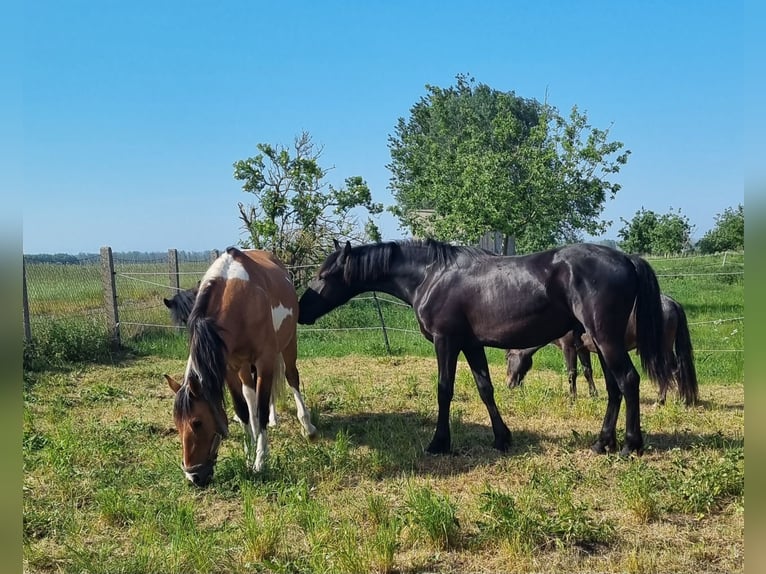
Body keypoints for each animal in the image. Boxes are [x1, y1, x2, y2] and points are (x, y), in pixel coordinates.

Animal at [164, 245, 316, 488]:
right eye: (176, 425)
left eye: (197, 422)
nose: (194, 477)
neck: (238, 301)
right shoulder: (228, 367)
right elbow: (242, 409)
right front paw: (248, 455)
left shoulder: (265, 360)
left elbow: (262, 408)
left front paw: (260, 461)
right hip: (244, 366)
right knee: (250, 393)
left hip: (288, 342)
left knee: (291, 377)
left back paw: (307, 427)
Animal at [300, 240, 672, 460]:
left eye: (324, 275)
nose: (301, 310)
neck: (431, 276)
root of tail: (626, 258)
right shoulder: (472, 344)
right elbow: (485, 389)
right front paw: (502, 438)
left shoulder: (446, 342)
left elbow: (444, 390)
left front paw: (439, 443)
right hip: (602, 342)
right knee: (613, 387)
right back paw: (602, 442)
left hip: (605, 339)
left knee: (628, 381)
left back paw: (630, 445)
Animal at [508, 294, 700, 408]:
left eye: (508, 356)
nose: (509, 384)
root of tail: (672, 303)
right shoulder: (582, 349)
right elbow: (587, 371)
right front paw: (593, 395)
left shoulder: (569, 348)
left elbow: (572, 373)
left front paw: (572, 399)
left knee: (673, 371)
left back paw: (665, 400)